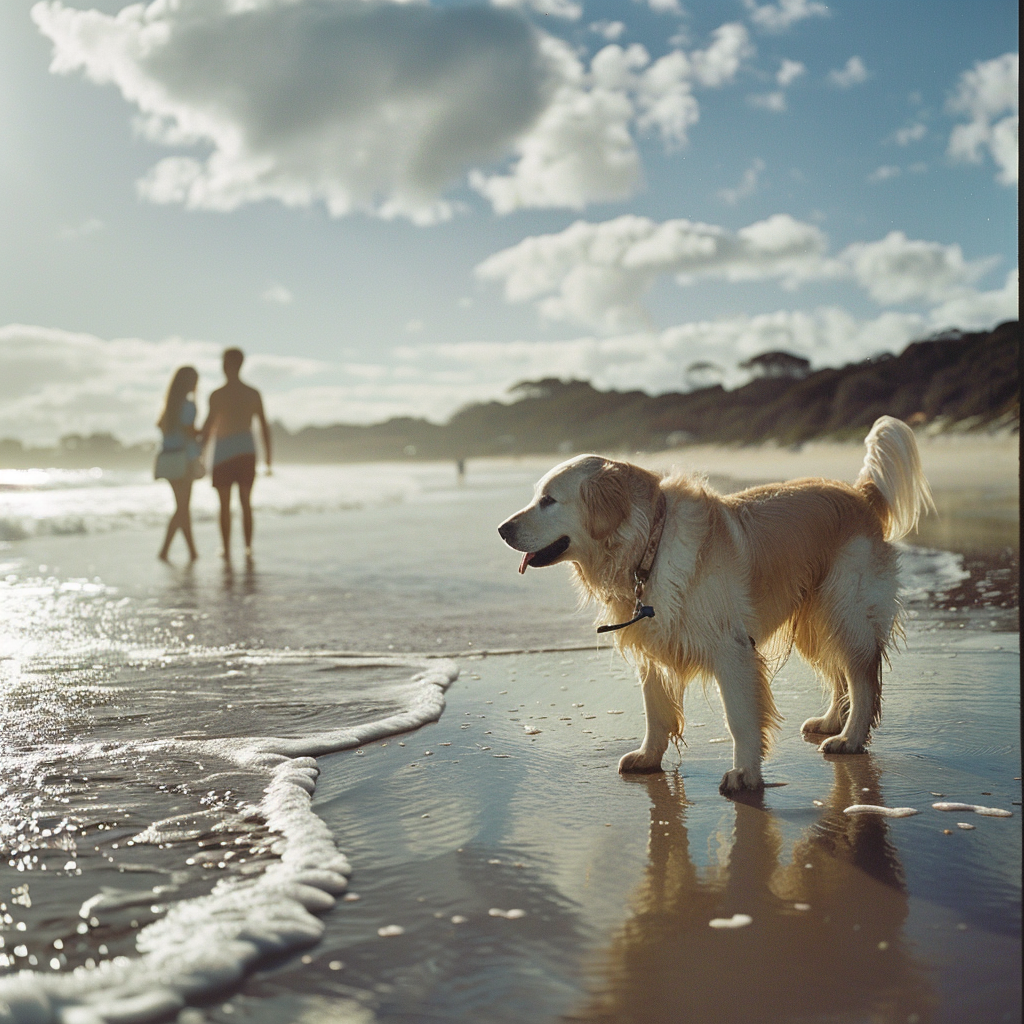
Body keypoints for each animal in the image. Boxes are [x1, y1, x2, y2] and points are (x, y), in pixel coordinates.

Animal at [497, 415, 937, 790]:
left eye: (549, 500)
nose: (501, 529)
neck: (648, 546)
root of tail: (860, 494)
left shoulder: (732, 649)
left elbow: (739, 718)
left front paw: (745, 774)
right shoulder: (652, 646)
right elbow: (655, 711)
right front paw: (647, 757)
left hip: (846, 610)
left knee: (862, 679)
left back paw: (850, 738)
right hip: (815, 620)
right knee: (839, 673)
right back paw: (831, 722)